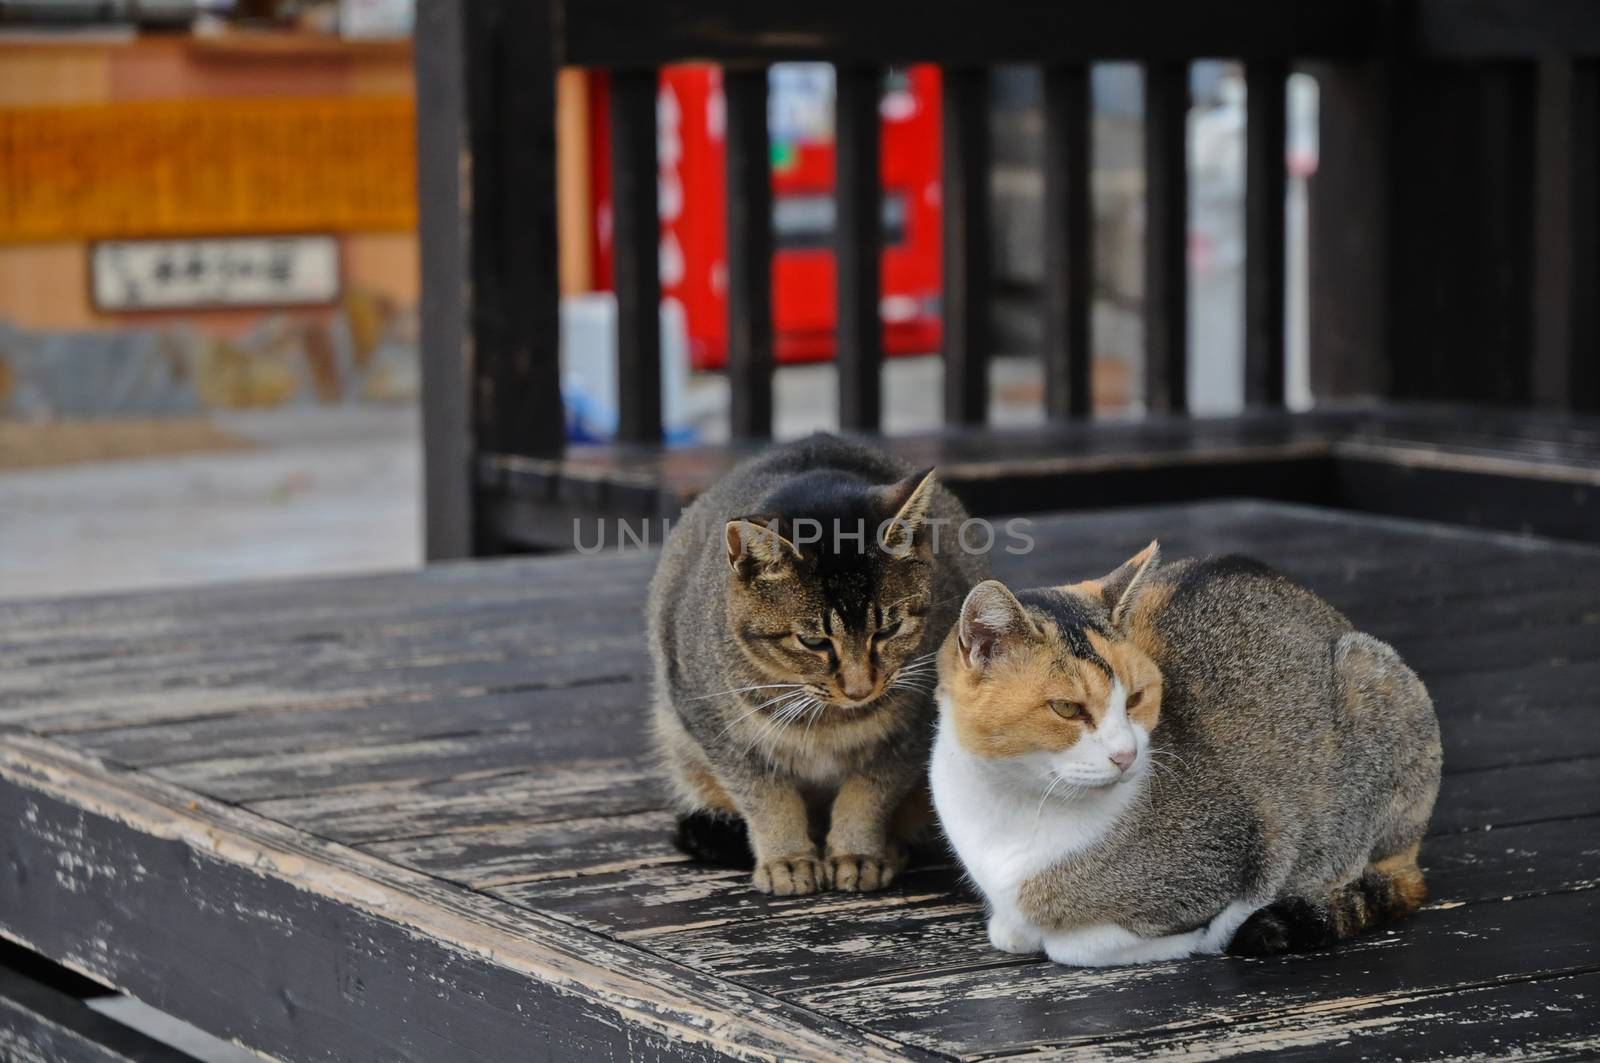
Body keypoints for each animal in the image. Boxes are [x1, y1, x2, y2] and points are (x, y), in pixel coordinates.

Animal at [643, 435, 979, 890]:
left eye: (888, 630)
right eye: (813, 641)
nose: (859, 688)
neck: (828, 723)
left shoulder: (913, 731)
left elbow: (868, 794)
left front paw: (858, 852)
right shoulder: (716, 728)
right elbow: (767, 800)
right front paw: (787, 858)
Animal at [928, 544, 1440, 966]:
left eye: (1136, 698)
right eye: (1068, 709)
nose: (1126, 755)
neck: (1014, 805)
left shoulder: (1245, 849)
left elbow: (1078, 946)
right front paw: (1013, 927)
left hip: (1372, 681)